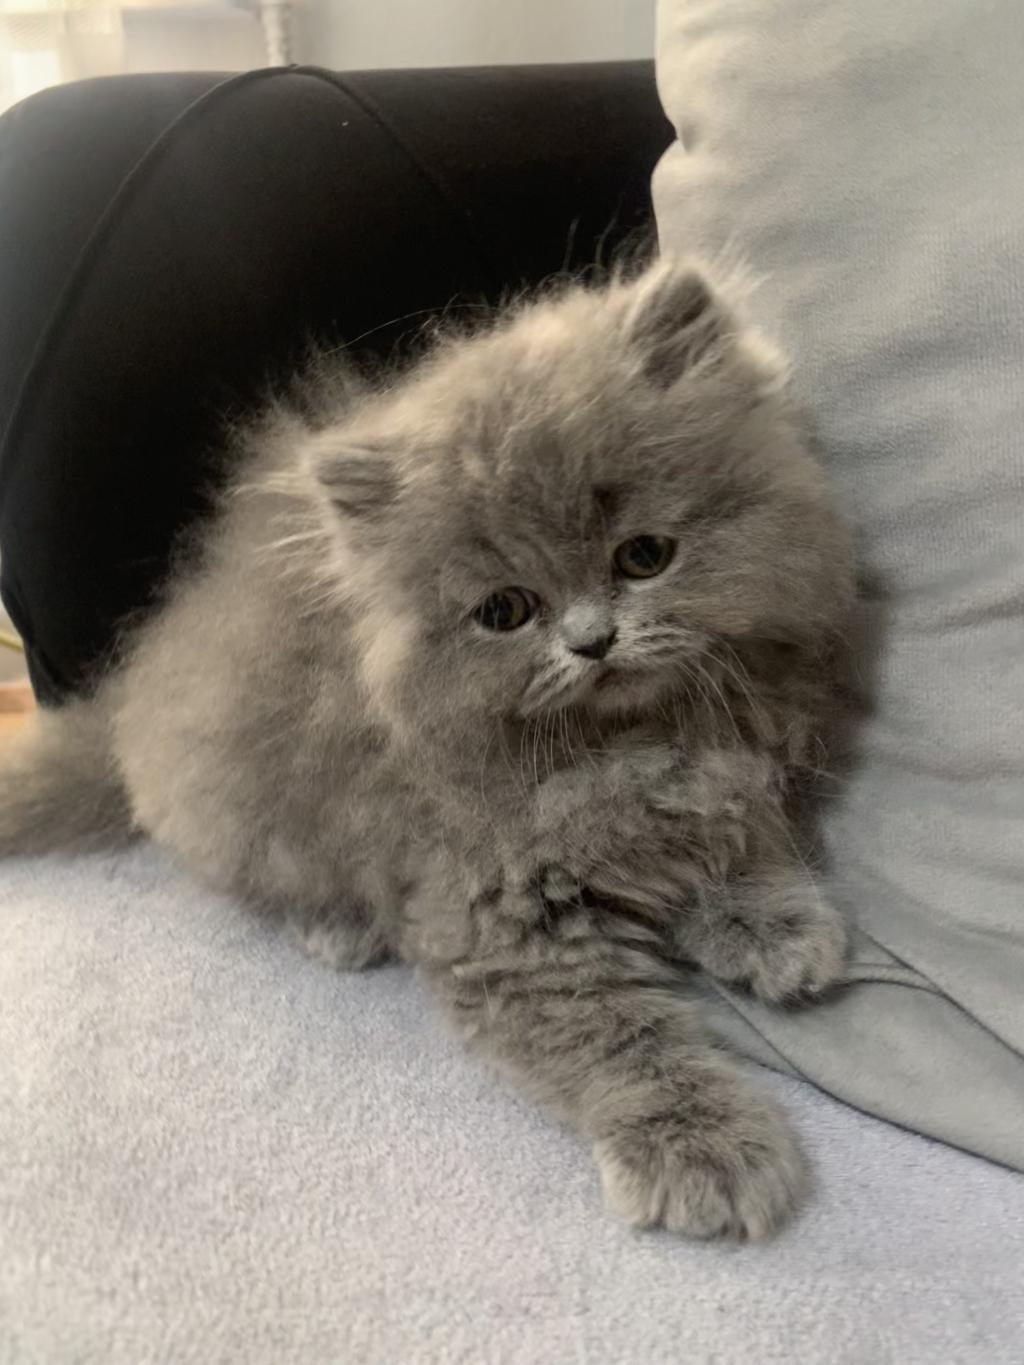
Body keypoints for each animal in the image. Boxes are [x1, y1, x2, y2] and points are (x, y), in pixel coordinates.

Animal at [0, 259, 854, 1239]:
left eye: (644, 555)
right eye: (505, 610)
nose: (593, 640)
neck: (625, 741)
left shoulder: (721, 770)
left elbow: (734, 844)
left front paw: (776, 926)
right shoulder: (500, 921)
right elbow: (620, 1042)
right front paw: (705, 1148)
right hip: (240, 810)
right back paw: (339, 926)